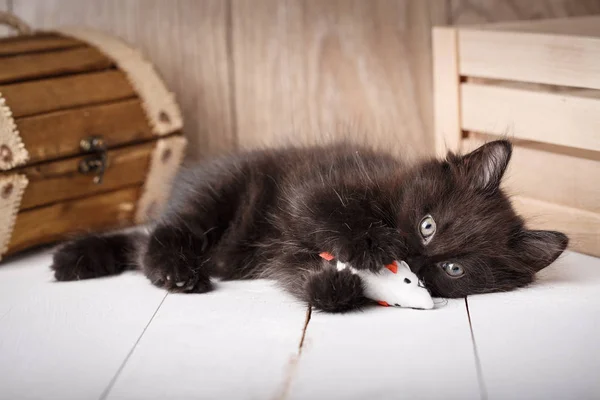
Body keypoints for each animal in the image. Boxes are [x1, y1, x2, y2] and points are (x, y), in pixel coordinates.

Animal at [50, 141, 568, 312]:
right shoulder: (312, 189)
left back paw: (77, 260)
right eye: (427, 226)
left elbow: (300, 273)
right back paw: (175, 271)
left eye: (454, 269)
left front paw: (334, 288)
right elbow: (327, 211)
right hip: (216, 193)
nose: (417, 259)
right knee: (156, 237)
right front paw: (367, 245)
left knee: (139, 246)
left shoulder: (288, 253)